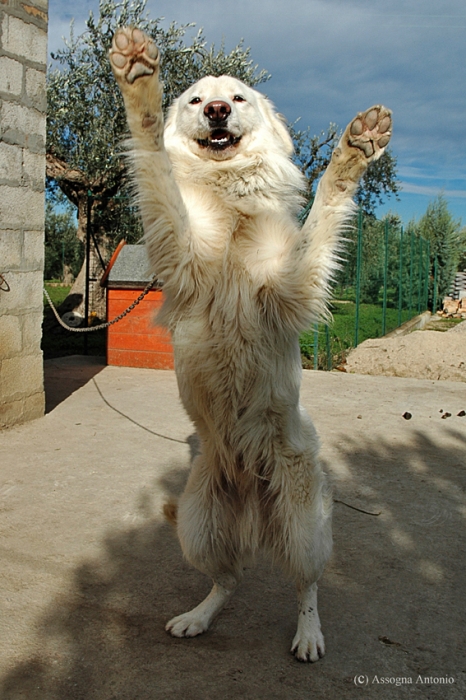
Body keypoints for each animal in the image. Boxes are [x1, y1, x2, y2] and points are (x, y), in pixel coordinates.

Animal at [109, 27, 390, 660]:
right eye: (195, 100)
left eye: (237, 97)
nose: (216, 111)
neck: (232, 201)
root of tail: (255, 497)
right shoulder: (181, 250)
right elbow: (157, 167)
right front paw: (139, 81)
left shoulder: (289, 288)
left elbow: (323, 215)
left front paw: (355, 150)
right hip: (199, 525)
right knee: (229, 578)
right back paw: (197, 617)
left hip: (304, 525)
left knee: (306, 583)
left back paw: (308, 634)